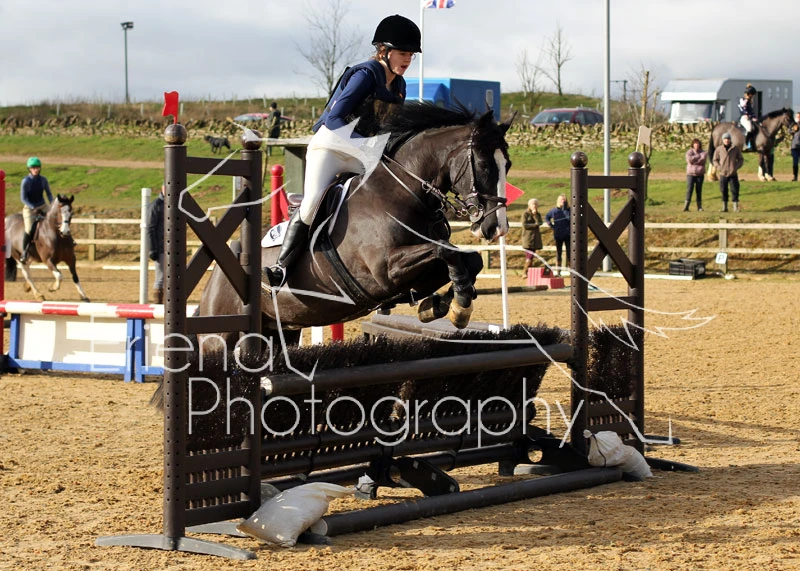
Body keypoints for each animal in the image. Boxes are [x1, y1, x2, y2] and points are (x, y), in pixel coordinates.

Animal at [197, 102, 512, 350]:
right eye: (484, 164)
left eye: (507, 164)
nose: (496, 228)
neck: (405, 191)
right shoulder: (385, 270)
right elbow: (447, 253)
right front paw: (457, 306)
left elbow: (467, 260)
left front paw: (444, 305)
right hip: (222, 337)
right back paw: (274, 273)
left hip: (279, 332)